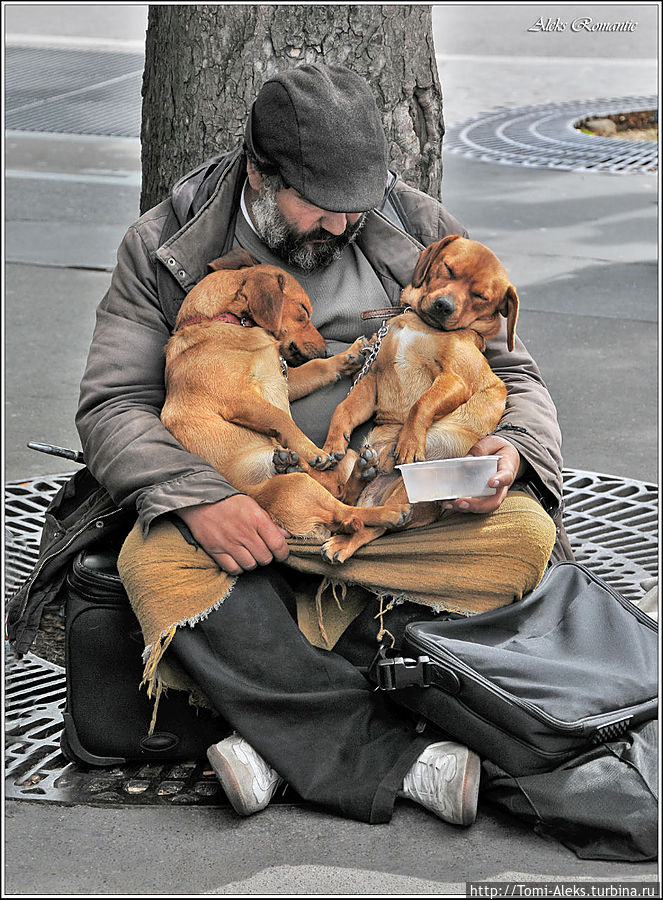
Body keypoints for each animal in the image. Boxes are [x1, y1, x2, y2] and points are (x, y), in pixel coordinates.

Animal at [161, 253, 410, 544]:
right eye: (303, 311)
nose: (327, 349)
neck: (224, 322)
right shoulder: (241, 399)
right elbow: (281, 419)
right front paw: (313, 451)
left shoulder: (285, 379)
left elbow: (316, 369)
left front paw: (348, 356)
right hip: (298, 487)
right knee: (346, 512)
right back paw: (388, 511)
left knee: (341, 495)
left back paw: (340, 468)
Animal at [320, 237, 520, 564]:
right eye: (448, 268)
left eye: (480, 296)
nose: (444, 306)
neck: (422, 325)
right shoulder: (372, 377)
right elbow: (344, 409)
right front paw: (333, 442)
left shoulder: (454, 379)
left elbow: (421, 405)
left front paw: (409, 444)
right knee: (348, 500)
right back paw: (363, 468)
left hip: (409, 489)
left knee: (375, 524)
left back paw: (342, 543)